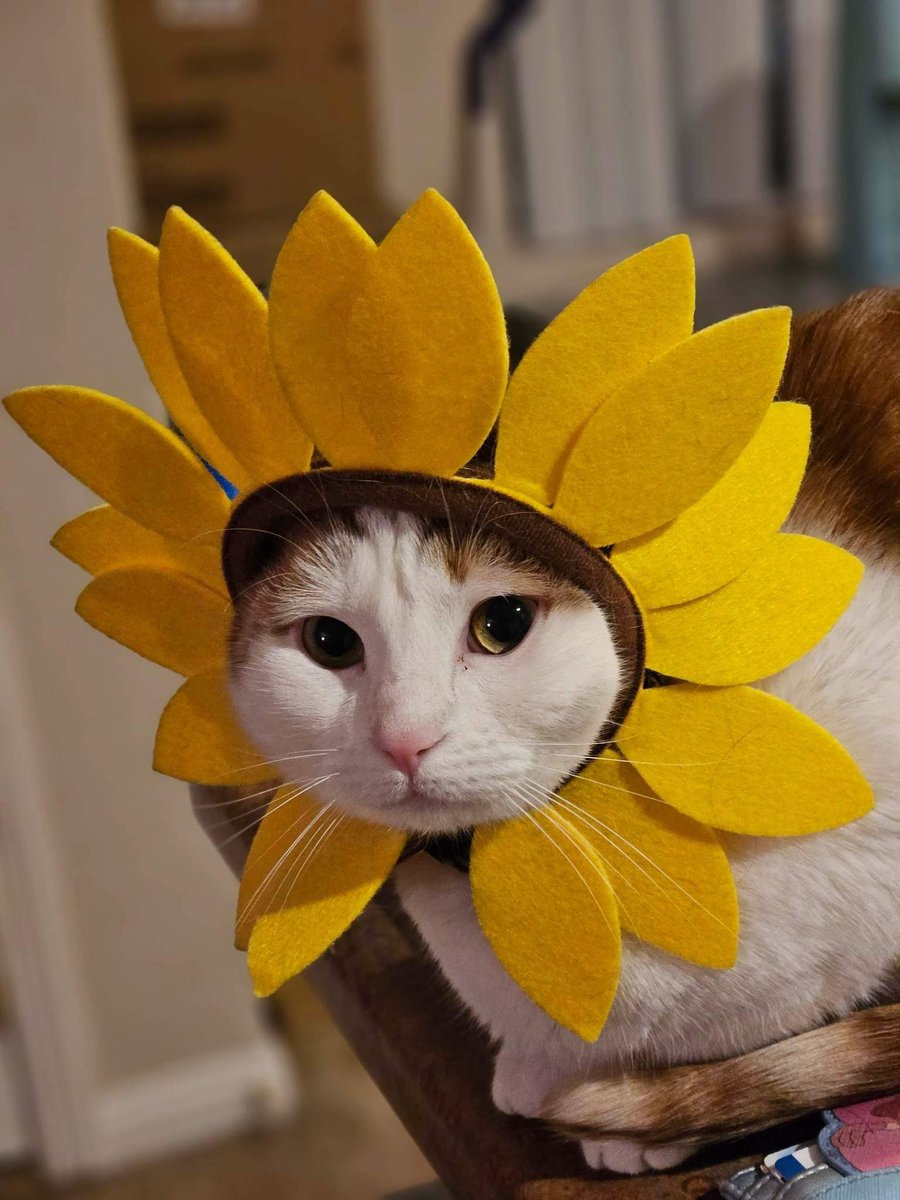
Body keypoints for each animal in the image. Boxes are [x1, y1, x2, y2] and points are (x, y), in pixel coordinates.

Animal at [225, 288, 900, 1171]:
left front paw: (625, 1113)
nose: (406, 740)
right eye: (330, 643)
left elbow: (760, 1020)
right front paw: (540, 1068)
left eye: (503, 624)